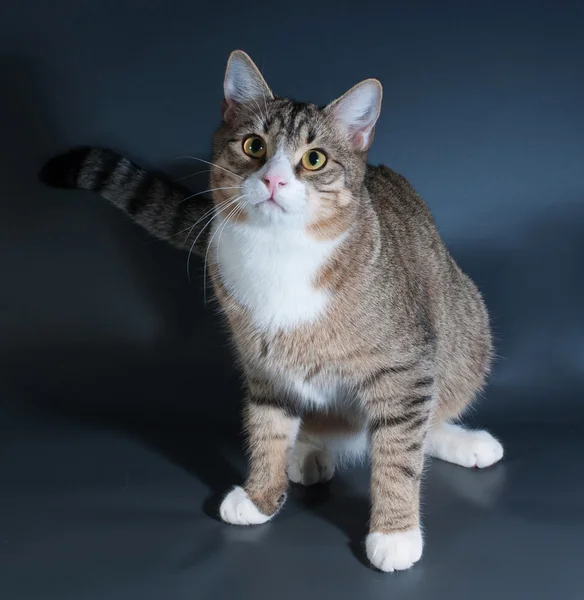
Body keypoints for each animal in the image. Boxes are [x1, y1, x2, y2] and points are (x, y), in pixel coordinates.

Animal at [42, 50, 506, 572]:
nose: (273, 179)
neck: (280, 252)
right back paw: (306, 454)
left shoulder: (406, 364)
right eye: (253, 145)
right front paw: (260, 495)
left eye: (314, 158)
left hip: (468, 330)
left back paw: (461, 441)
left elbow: (400, 448)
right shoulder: (262, 362)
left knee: (424, 419)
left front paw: (395, 532)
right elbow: (267, 427)